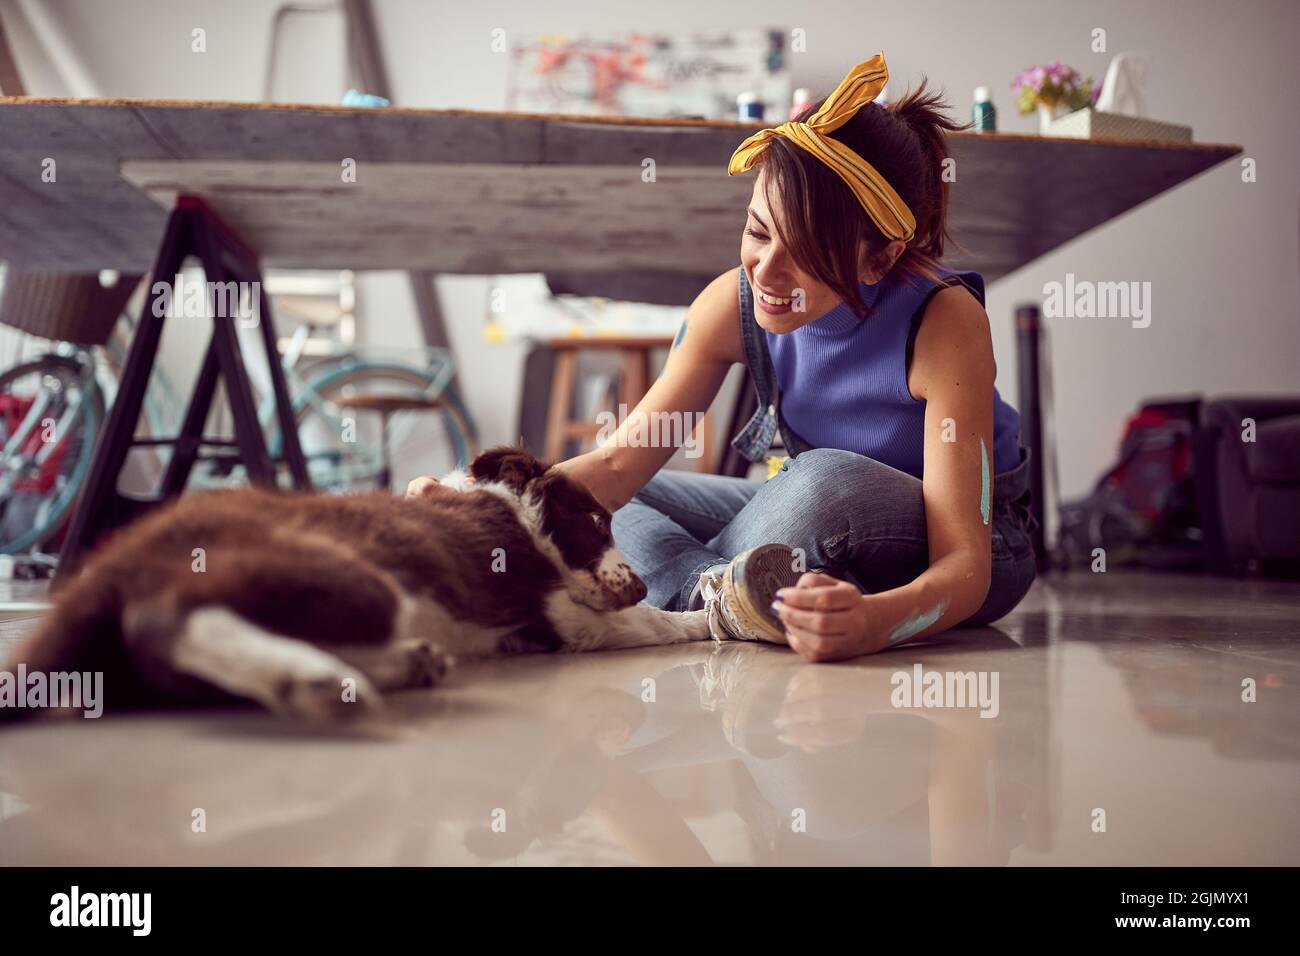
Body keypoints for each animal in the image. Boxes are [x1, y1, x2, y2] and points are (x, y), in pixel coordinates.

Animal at [2, 444, 712, 723]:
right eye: (595, 521)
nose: (641, 584)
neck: (513, 512)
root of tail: (112, 567)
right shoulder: (562, 611)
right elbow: (650, 623)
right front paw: (703, 616)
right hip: (346, 575)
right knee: (166, 620)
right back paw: (312, 679)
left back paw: (393, 664)